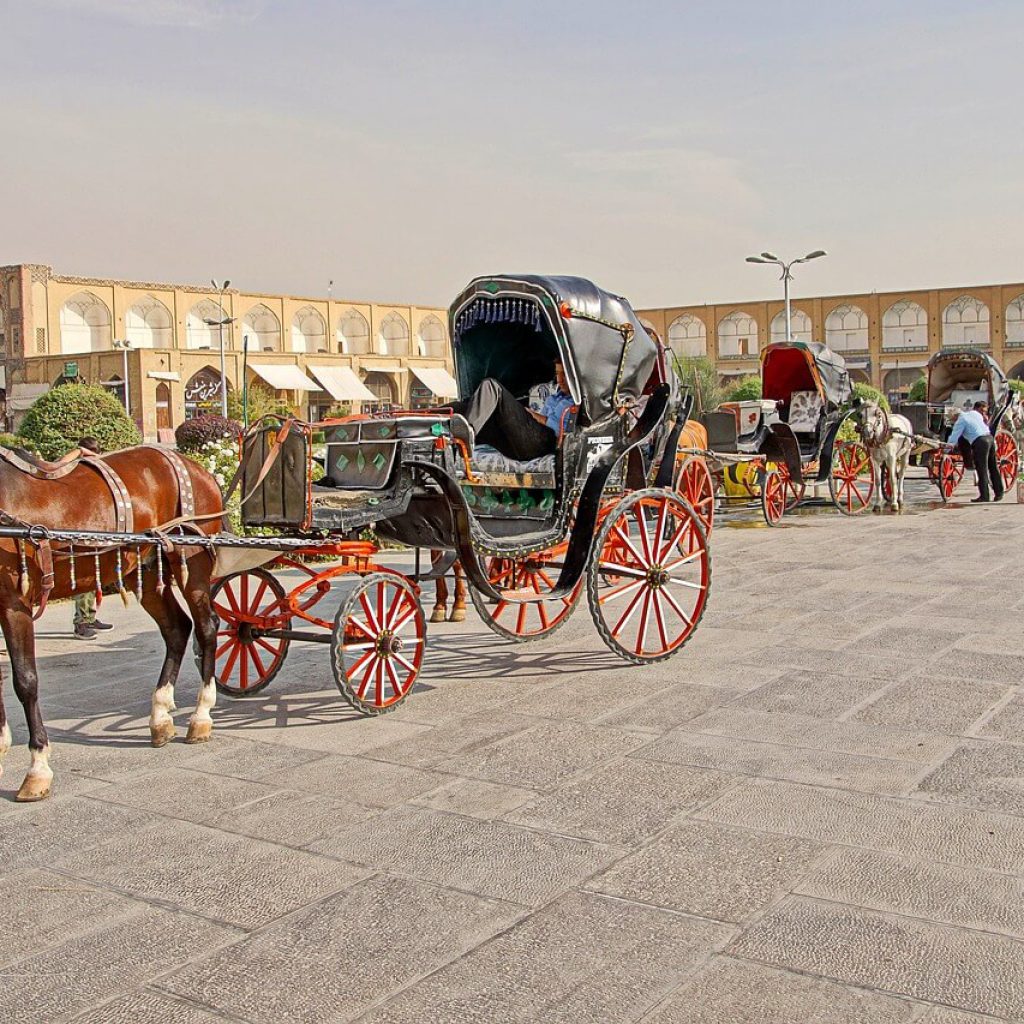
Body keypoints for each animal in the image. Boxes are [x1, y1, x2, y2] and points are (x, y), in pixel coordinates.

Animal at [0, 446, 224, 798]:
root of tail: (196, 467)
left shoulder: (14, 601)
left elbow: (25, 680)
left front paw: (38, 768)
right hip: (144, 567)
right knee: (177, 628)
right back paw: (160, 716)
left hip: (192, 561)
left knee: (206, 628)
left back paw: (201, 715)